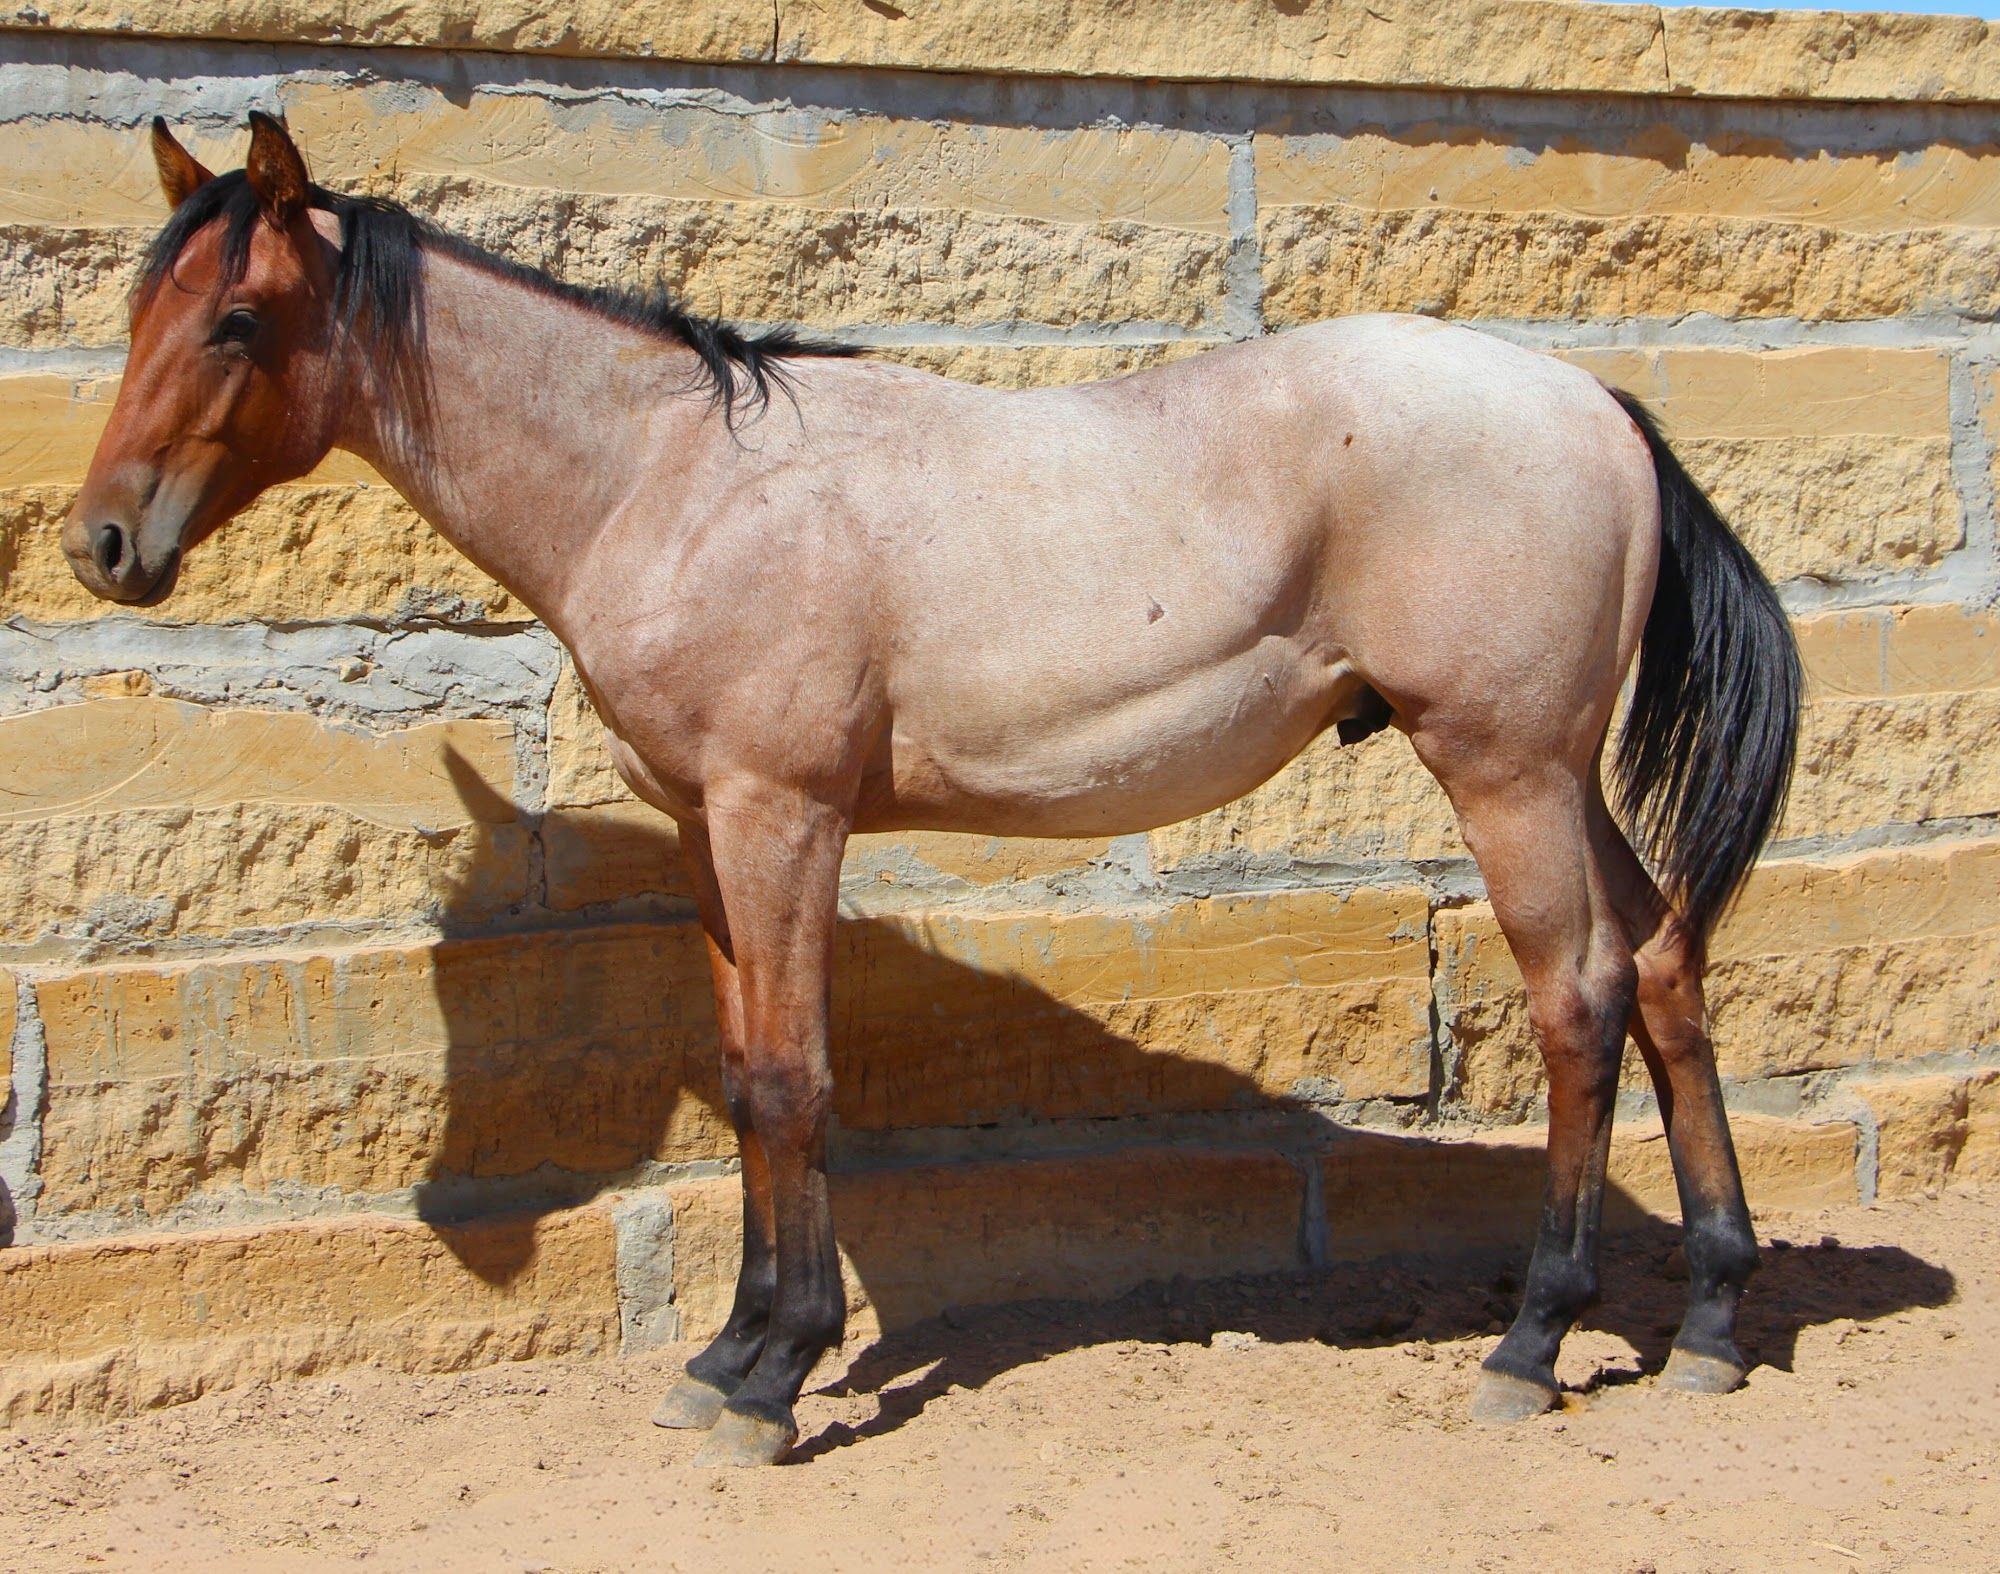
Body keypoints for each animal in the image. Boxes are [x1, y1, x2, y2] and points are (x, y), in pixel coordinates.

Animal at [63, 113, 1801, 1466]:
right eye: (144, 306)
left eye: (234, 321)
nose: (99, 542)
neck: (668, 481)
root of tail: (1594, 406)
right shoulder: (709, 832)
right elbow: (748, 1068)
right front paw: (728, 1353)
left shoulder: (783, 814)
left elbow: (793, 1081)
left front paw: (777, 1374)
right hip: (1560, 776)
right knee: (1664, 962)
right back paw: (1715, 1318)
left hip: (1502, 768)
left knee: (1579, 998)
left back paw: (1532, 1342)